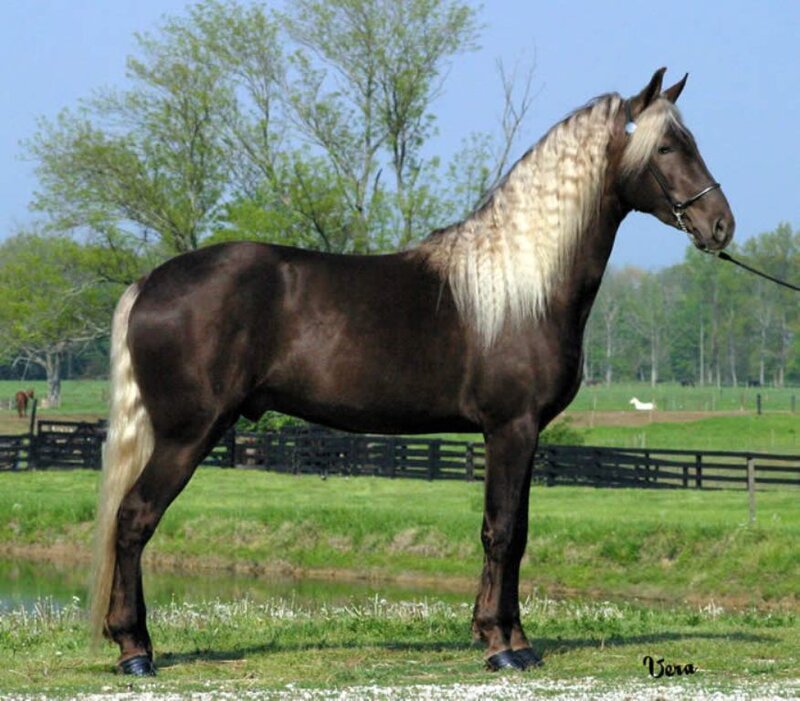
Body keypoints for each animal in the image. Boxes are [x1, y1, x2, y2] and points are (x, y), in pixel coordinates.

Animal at [91, 68, 734, 676]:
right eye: (667, 147)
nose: (721, 224)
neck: (523, 284)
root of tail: (151, 281)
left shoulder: (521, 435)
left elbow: (516, 531)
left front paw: (509, 637)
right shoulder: (512, 428)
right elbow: (503, 530)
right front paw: (502, 646)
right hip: (188, 434)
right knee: (134, 519)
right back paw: (135, 649)